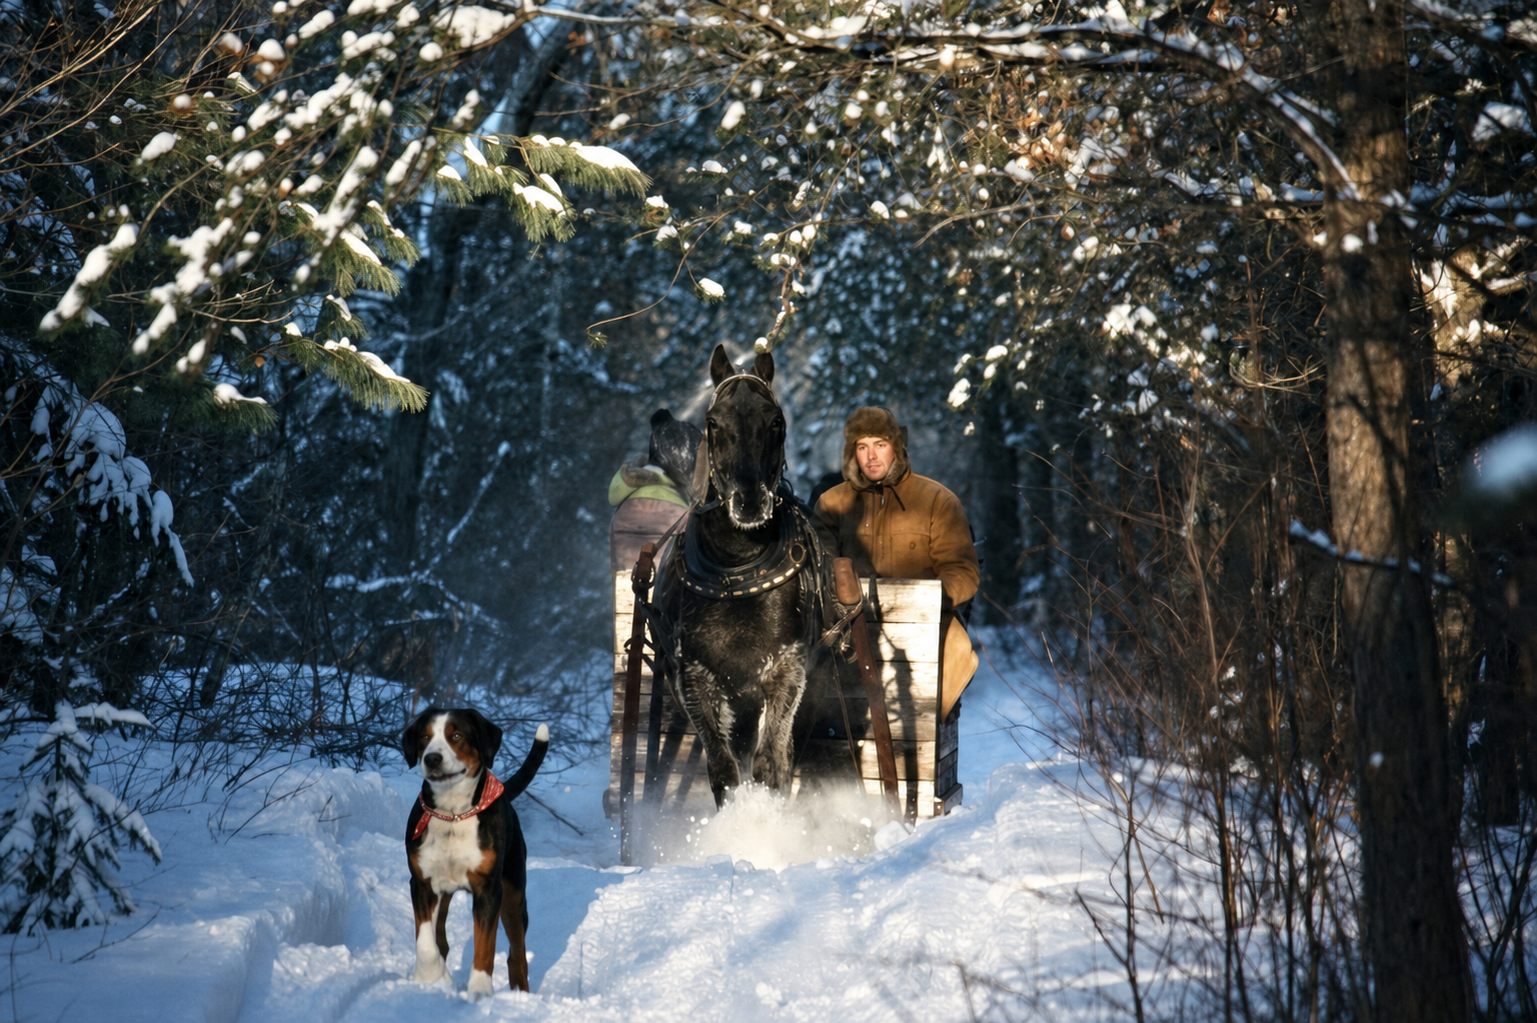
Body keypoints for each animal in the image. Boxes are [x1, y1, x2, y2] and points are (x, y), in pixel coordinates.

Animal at [662, 345, 827, 809]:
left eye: (776, 421)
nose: (750, 502)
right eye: (713, 421)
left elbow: (772, 764)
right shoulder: (695, 679)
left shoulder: (786, 672)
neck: (736, 572)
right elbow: (723, 770)